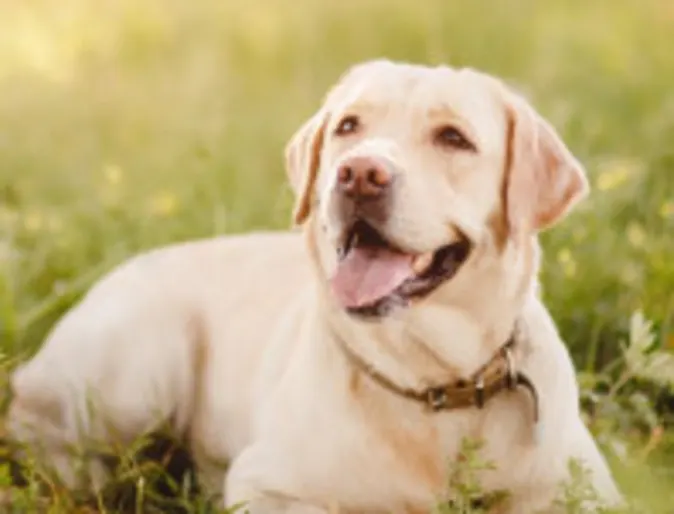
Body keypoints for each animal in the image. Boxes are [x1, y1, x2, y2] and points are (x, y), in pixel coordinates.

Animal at [5, 59, 620, 508]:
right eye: (349, 125)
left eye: (453, 138)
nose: (360, 174)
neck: (435, 384)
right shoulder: (266, 484)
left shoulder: (589, 493)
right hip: (141, 362)